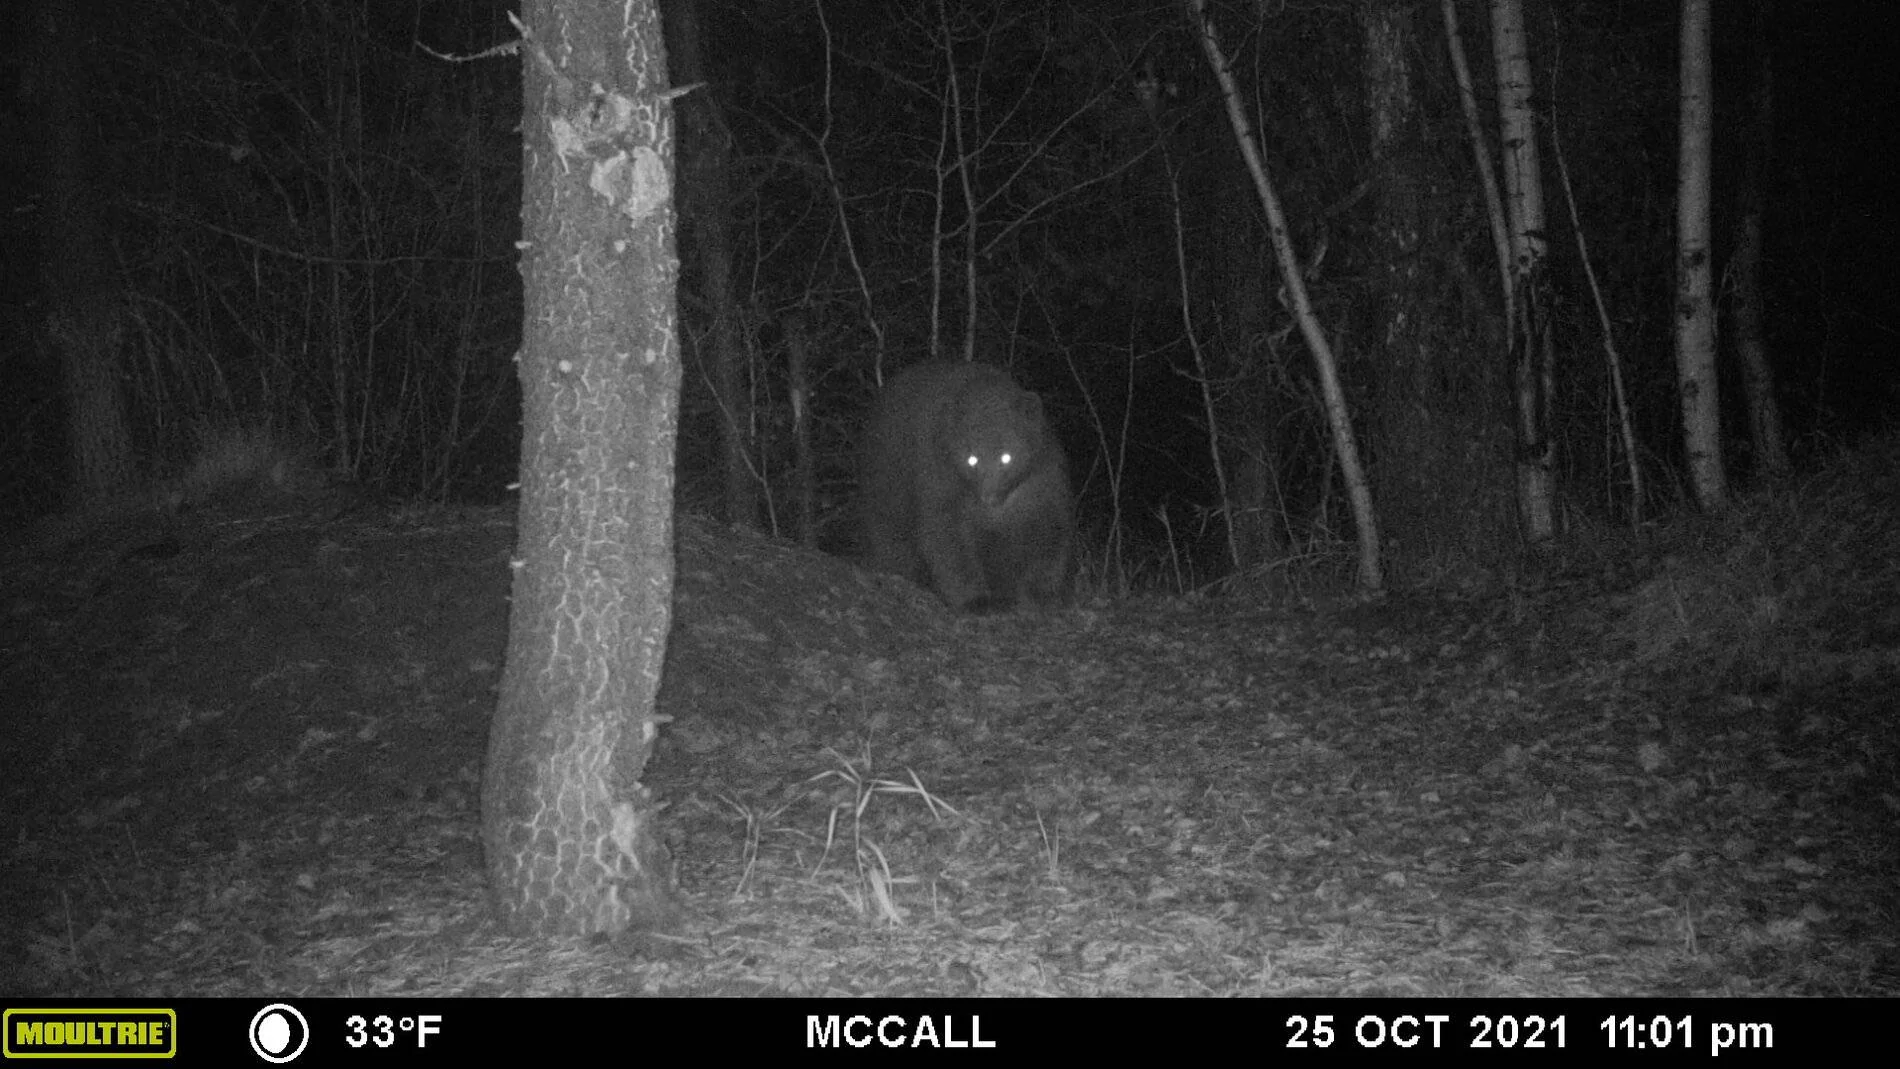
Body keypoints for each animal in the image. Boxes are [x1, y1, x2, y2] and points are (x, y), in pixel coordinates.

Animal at [859, 361, 1075, 612]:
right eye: (972, 459)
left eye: (1007, 457)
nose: (989, 497)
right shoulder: (939, 472)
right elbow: (946, 534)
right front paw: (977, 600)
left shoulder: (1041, 478)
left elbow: (1049, 529)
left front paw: (1040, 593)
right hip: (886, 482)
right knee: (889, 533)